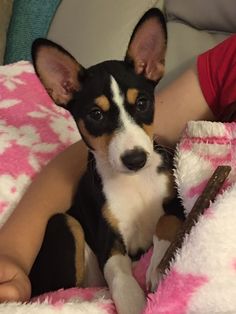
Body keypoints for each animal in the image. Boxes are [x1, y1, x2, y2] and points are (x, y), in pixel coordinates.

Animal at [30, 7, 184, 314]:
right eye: (96, 114)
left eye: (142, 103)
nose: (135, 159)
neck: (135, 182)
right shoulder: (109, 240)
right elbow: (119, 275)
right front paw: (134, 302)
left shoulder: (176, 203)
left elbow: (165, 222)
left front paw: (156, 266)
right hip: (65, 224)